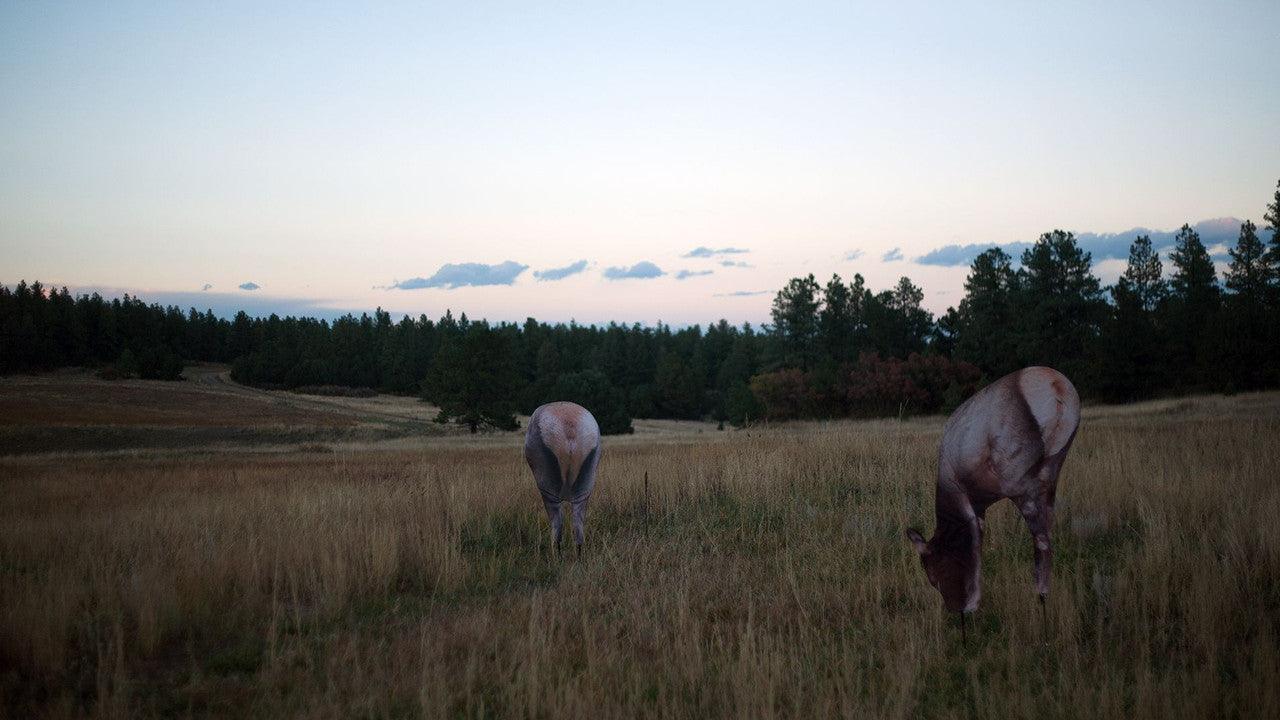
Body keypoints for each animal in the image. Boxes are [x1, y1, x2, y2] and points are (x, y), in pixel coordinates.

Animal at [524, 401, 602, 557]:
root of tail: (569, 427)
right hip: (583, 491)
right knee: (578, 529)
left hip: (549, 493)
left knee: (557, 526)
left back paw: (557, 558)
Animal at [906, 366, 1080, 635]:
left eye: (932, 575)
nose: (955, 608)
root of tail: (1056, 384)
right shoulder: (980, 504)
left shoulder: (965, 499)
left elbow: (974, 544)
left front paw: (974, 605)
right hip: (1052, 474)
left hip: (1021, 484)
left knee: (1041, 541)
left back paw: (1041, 604)